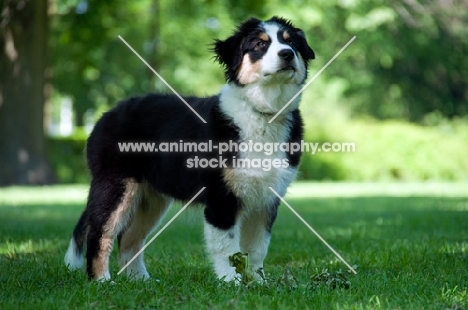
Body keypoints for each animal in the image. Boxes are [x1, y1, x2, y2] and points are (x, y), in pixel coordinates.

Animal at [64, 17, 314, 284]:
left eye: (291, 42)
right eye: (259, 44)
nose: (287, 54)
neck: (263, 113)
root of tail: (105, 116)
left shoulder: (266, 200)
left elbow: (257, 249)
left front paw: (259, 284)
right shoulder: (220, 197)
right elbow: (227, 247)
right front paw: (231, 283)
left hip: (150, 197)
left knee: (130, 238)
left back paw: (140, 281)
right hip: (115, 184)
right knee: (100, 232)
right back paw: (101, 281)